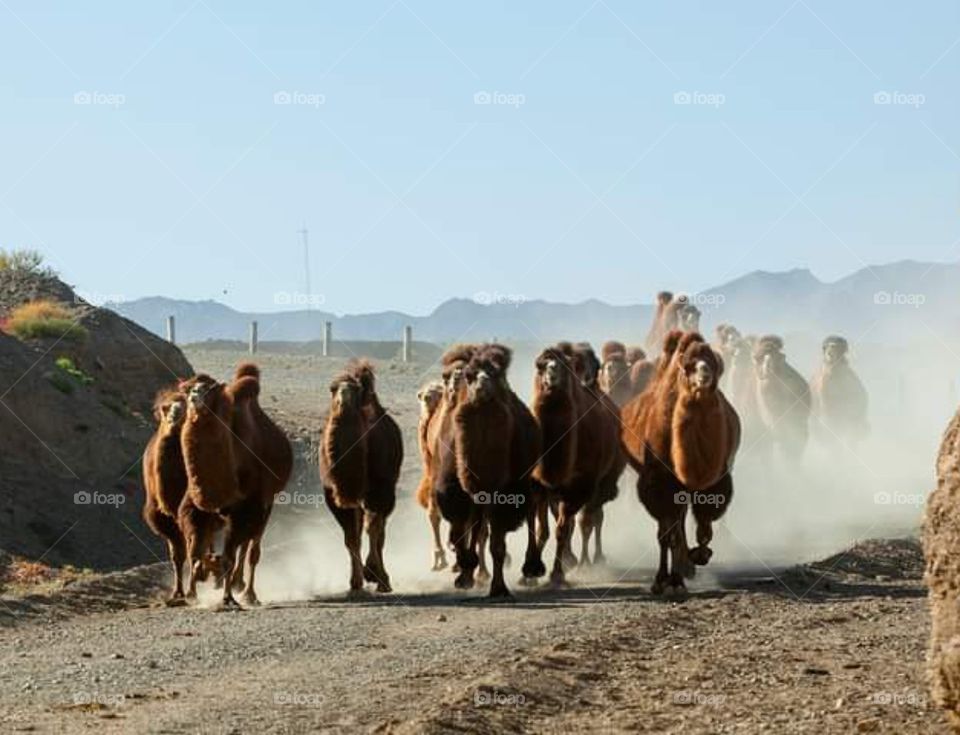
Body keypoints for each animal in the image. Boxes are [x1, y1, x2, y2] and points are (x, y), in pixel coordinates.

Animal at [322, 361, 403, 594]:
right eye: (331, 389)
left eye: (356, 390)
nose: (343, 400)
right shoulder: (335, 495)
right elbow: (357, 534)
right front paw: (363, 579)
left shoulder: (377, 490)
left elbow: (366, 530)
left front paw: (372, 577)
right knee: (368, 527)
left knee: (369, 527)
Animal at [530, 343, 625, 586]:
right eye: (540, 364)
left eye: (564, 365)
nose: (552, 371)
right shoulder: (541, 487)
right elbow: (543, 530)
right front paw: (531, 573)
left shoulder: (579, 487)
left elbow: (567, 528)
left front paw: (557, 574)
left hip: (600, 485)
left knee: (592, 519)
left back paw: (591, 561)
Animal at [621, 331, 740, 594]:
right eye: (688, 365)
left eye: (714, 363)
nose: (704, 375)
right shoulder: (660, 482)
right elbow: (667, 534)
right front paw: (667, 581)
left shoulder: (715, 478)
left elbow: (704, 526)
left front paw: (698, 557)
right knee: (672, 527)